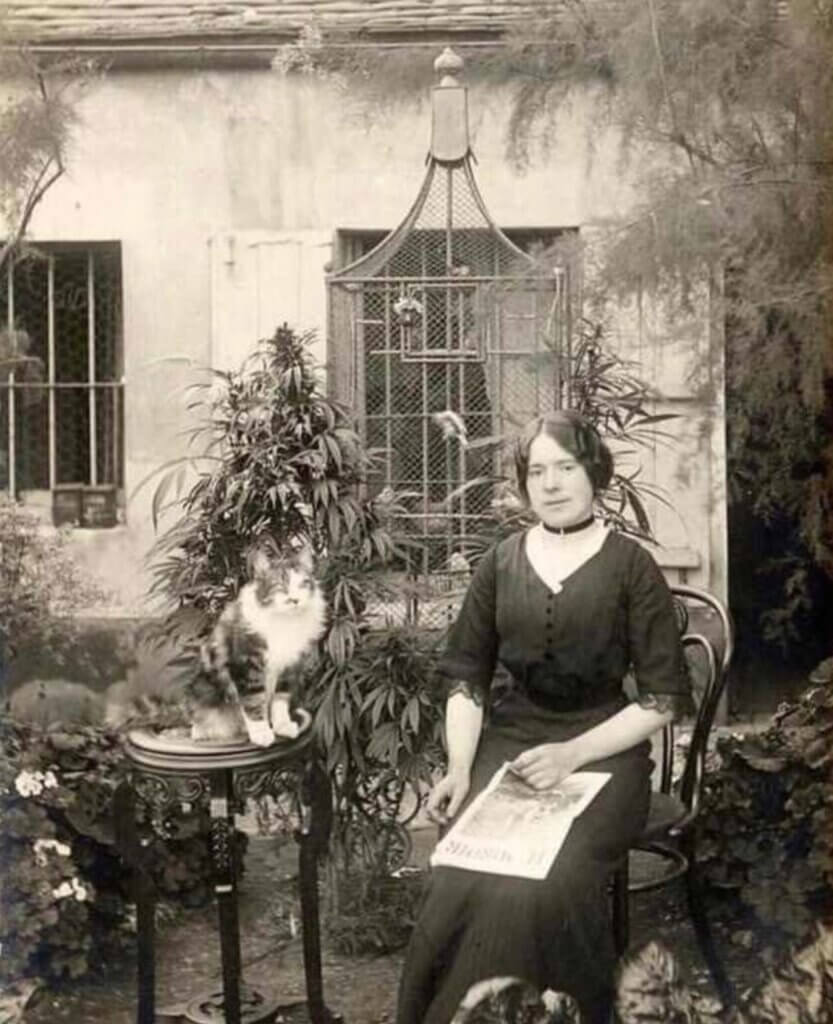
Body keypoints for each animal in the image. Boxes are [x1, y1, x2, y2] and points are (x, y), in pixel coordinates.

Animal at [186, 540, 325, 749]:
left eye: (303, 584)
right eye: (280, 585)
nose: (295, 600)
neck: (284, 622)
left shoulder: (288, 667)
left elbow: (280, 700)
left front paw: (282, 725)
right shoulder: (245, 666)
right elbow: (252, 701)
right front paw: (261, 733)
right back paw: (204, 731)